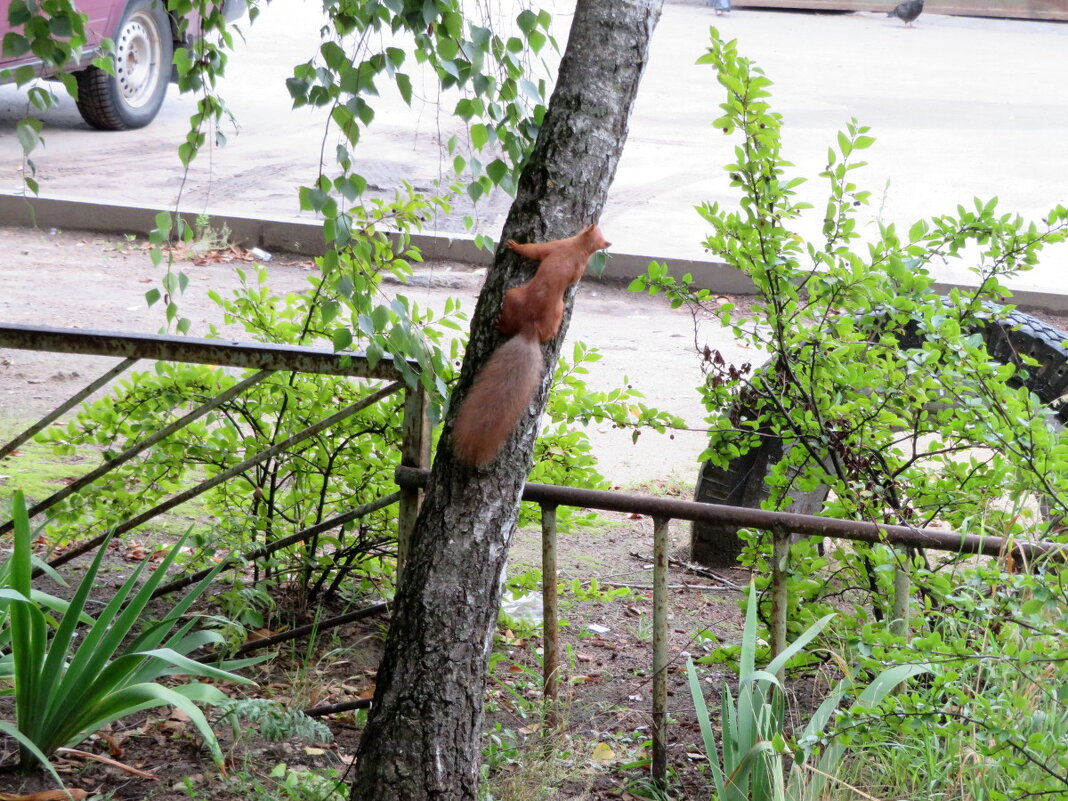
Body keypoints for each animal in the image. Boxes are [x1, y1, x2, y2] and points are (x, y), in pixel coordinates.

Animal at [450, 223, 610, 467]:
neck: (579, 248)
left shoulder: (554, 247)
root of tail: (530, 331)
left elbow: (533, 251)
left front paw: (515, 245)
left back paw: (501, 324)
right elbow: (572, 276)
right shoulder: (575, 262)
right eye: (598, 232)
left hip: (513, 295)